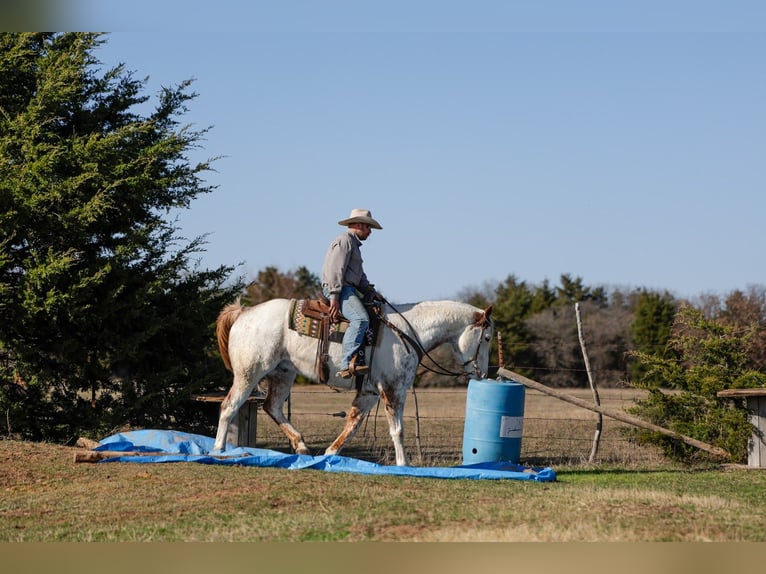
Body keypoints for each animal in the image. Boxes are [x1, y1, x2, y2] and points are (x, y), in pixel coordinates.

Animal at [213, 297, 494, 466]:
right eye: (488, 337)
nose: (482, 373)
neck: (410, 330)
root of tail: (245, 312)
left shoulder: (370, 392)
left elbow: (353, 423)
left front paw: (330, 454)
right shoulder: (394, 389)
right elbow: (397, 430)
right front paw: (403, 465)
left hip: (283, 373)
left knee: (272, 407)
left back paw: (301, 447)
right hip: (249, 373)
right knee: (229, 407)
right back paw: (218, 451)